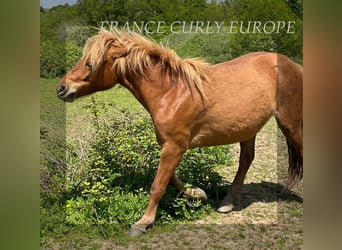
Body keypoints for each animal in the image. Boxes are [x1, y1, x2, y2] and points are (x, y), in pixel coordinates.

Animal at [56, 30, 302, 236]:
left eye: (90, 64)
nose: (61, 88)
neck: (172, 92)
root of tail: (293, 65)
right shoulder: (170, 146)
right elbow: (171, 179)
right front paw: (196, 193)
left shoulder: (175, 147)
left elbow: (157, 185)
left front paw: (143, 223)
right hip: (248, 129)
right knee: (246, 160)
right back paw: (227, 202)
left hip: (289, 124)